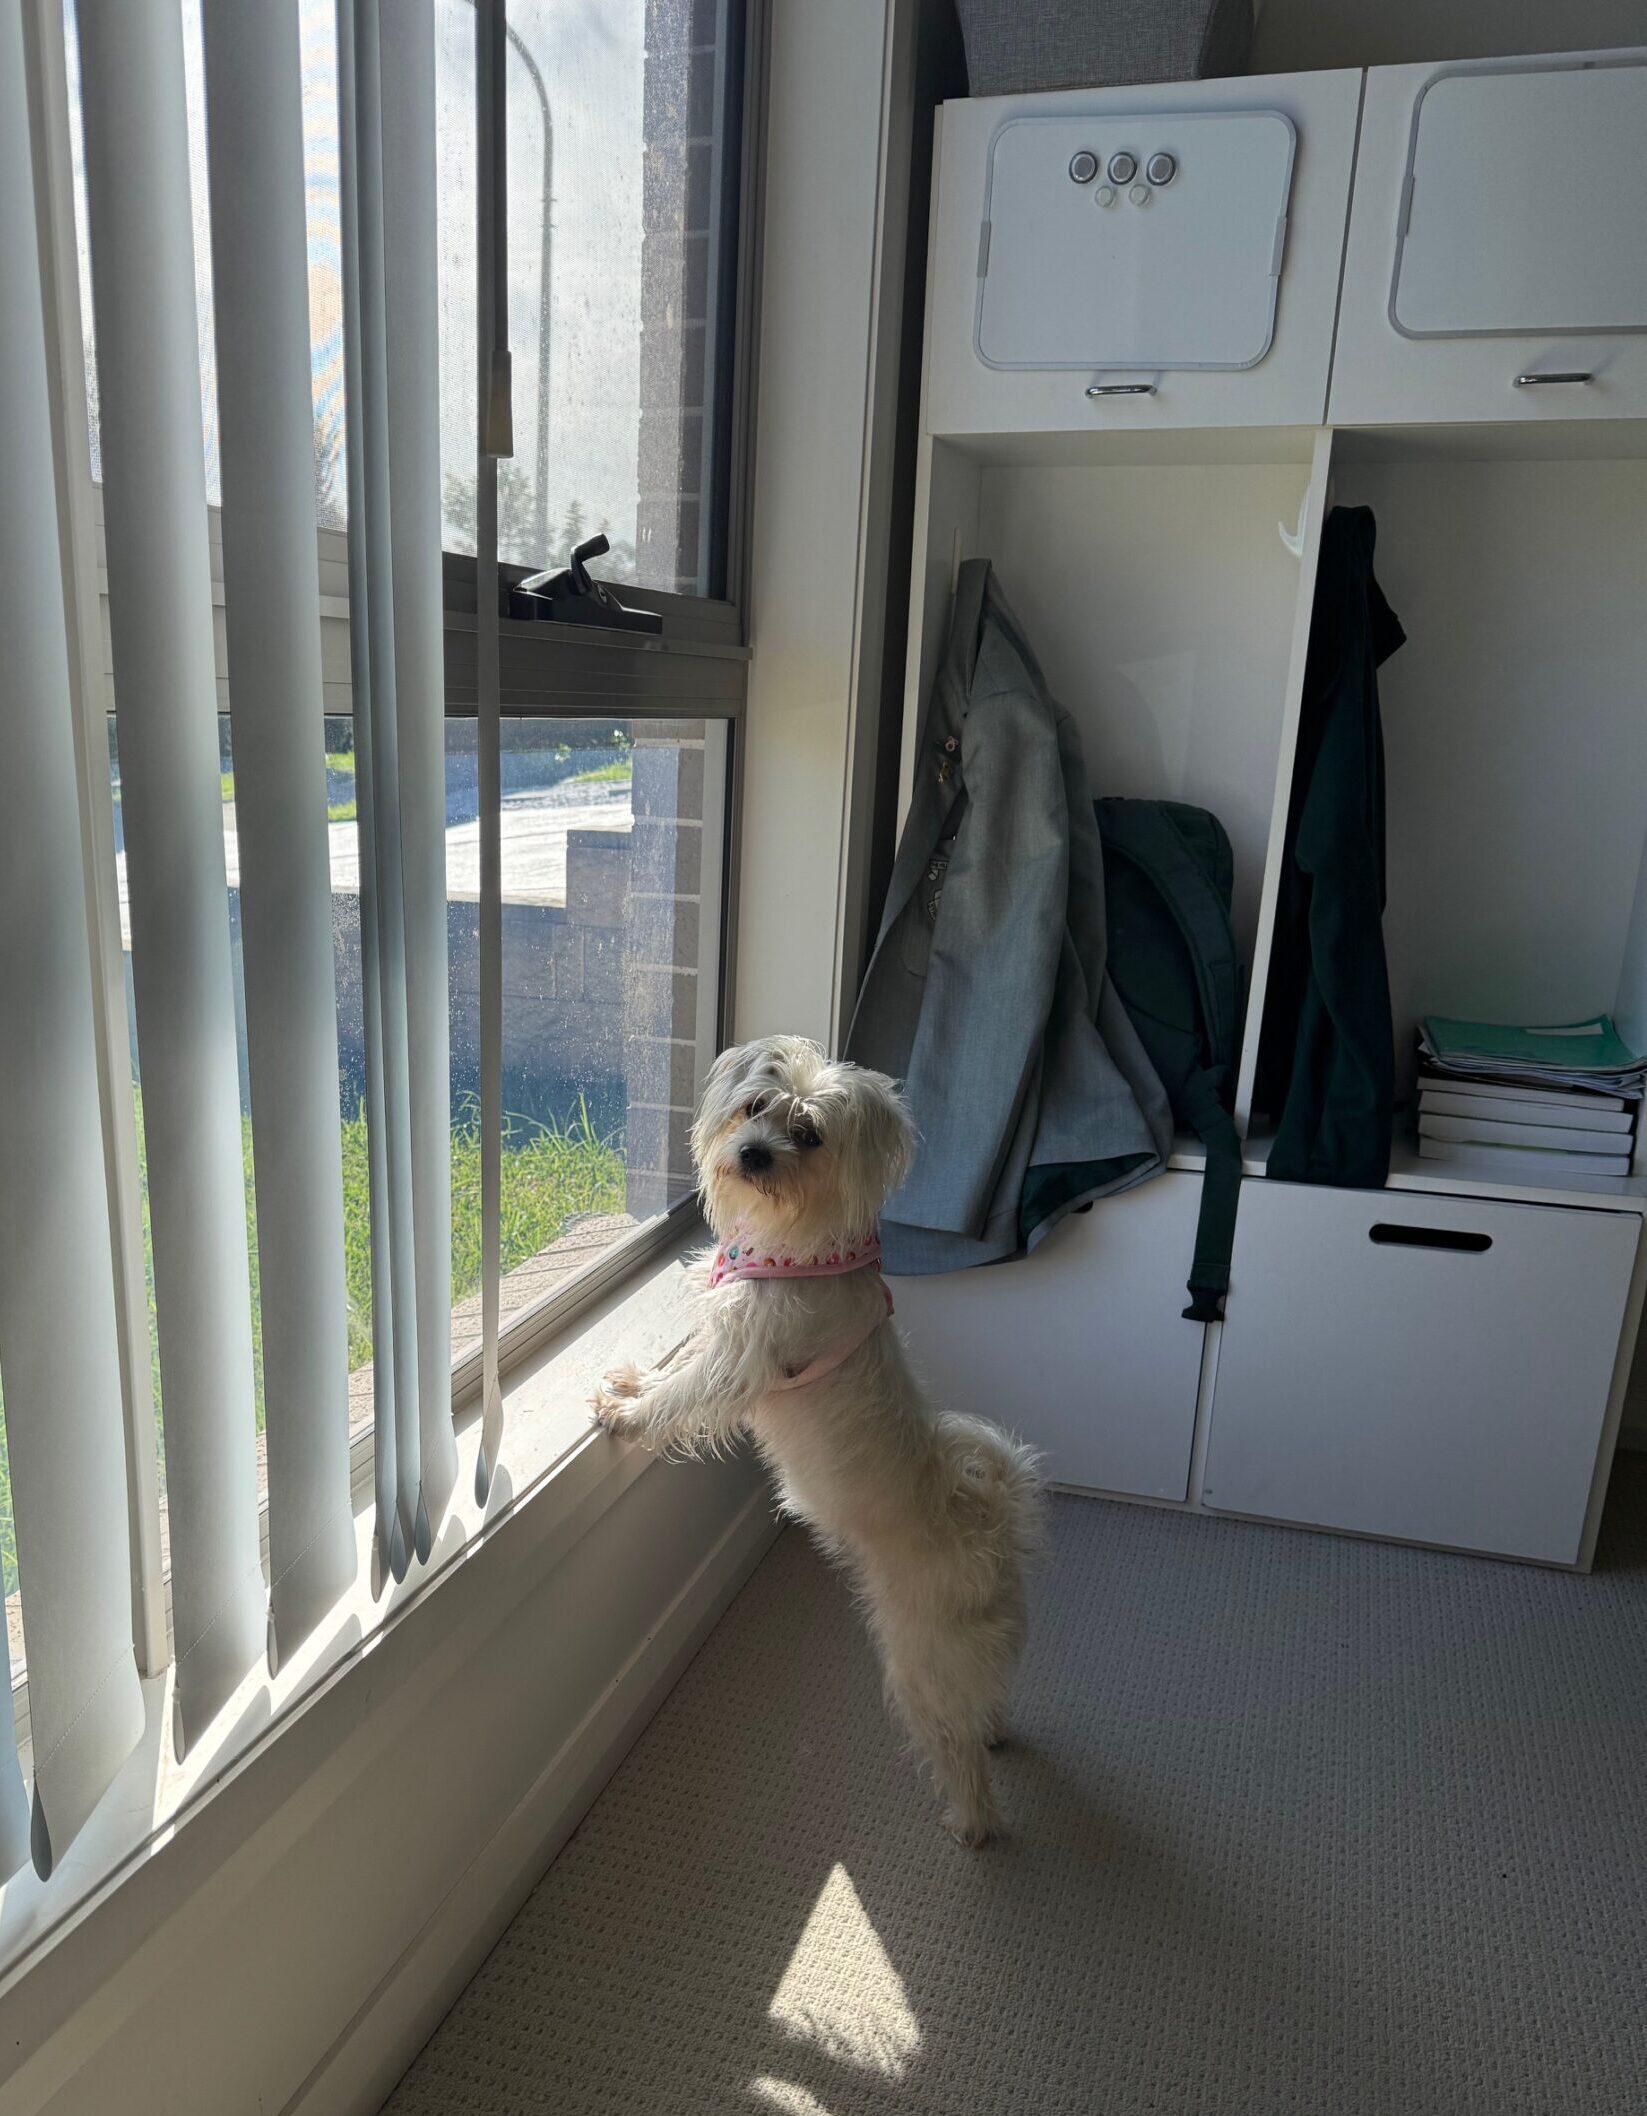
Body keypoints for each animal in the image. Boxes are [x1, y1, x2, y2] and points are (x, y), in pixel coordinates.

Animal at [592, 1035, 1043, 1844]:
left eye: (807, 1135)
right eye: (753, 1107)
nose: (752, 1152)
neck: (790, 1244)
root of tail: (993, 1522)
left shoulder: (739, 1364)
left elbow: (682, 1394)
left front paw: (628, 1415)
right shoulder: (723, 1331)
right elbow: (673, 1367)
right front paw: (630, 1384)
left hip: (920, 1662)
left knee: (957, 1750)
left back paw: (969, 1823)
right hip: (969, 1654)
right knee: (985, 1703)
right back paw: (995, 1732)